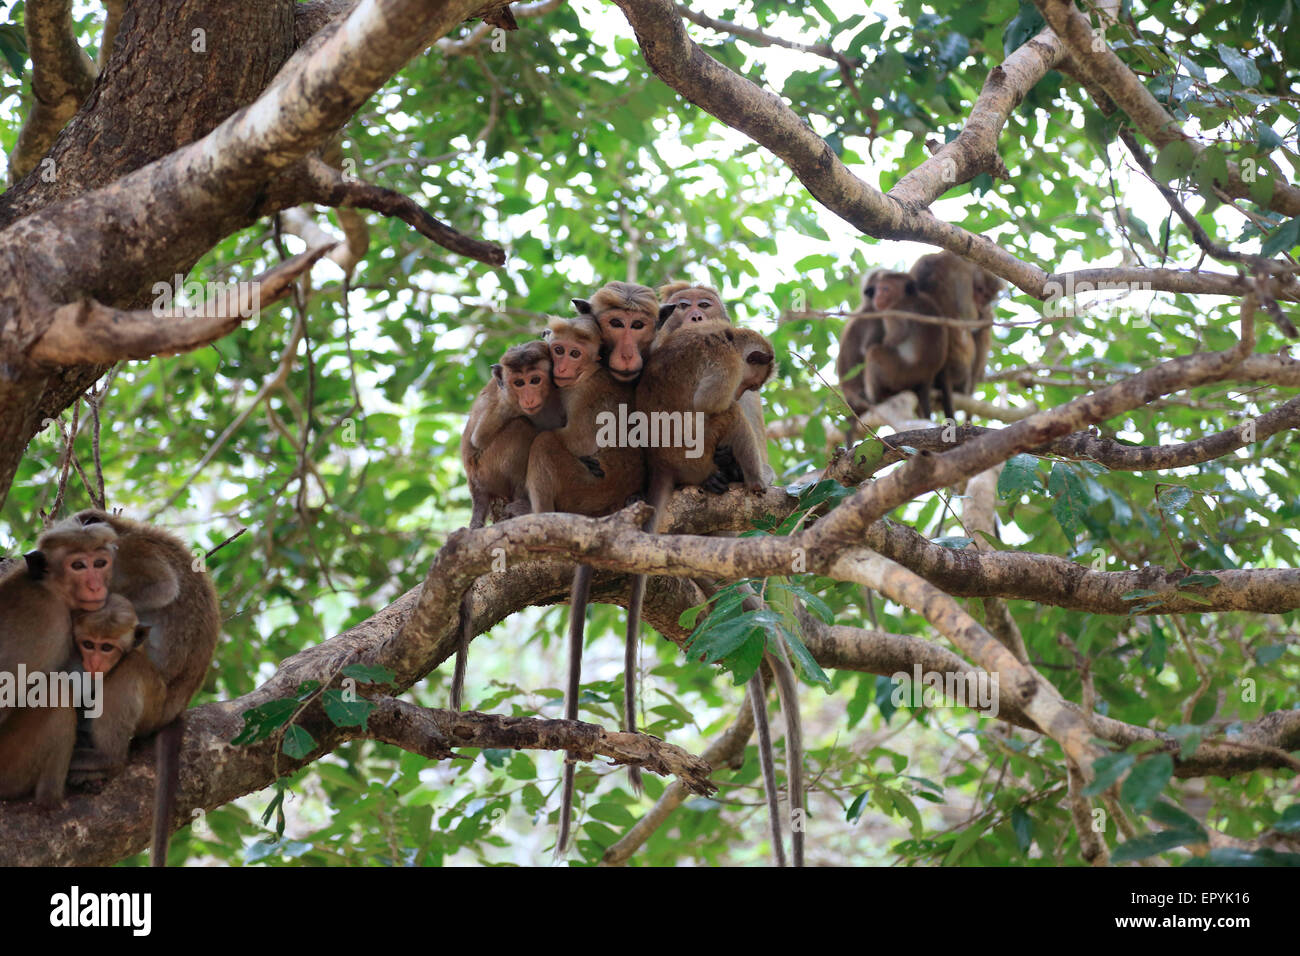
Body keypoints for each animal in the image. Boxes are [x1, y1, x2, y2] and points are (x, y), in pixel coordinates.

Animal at [461, 340, 565, 531]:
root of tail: (473, 484)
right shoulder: (504, 401)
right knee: (520, 427)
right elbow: (478, 438)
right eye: (519, 383)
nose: (528, 398)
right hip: (486, 472)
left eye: (535, 380)